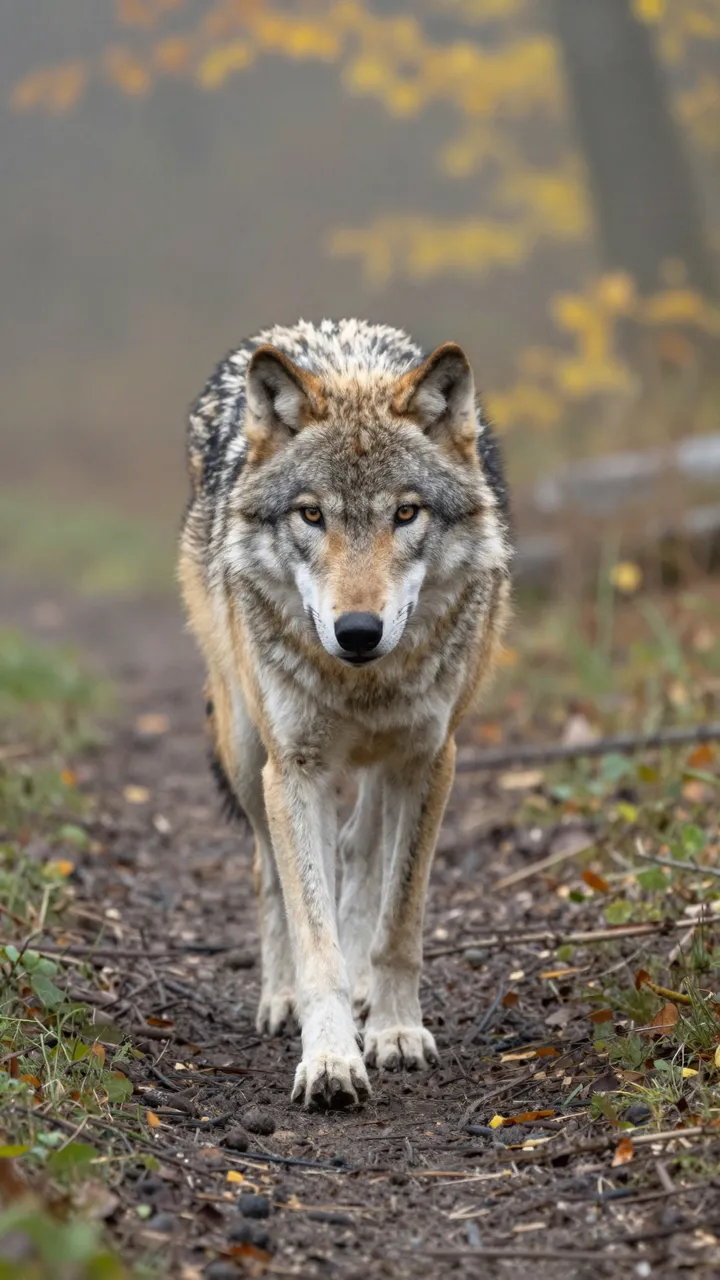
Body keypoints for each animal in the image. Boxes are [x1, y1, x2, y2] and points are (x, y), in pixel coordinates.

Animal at [179, 318, 512, 1108]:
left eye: (405, 513)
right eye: (312, 514)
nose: (357, 631)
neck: (363, 684)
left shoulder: (429, 760)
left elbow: (398, 922)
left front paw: (393, 1030)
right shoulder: (294, 769)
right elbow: (316, 935)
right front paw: (329, 1058)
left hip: (383, 768)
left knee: (361, 850)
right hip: (246, 751)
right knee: (271, 870)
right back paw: (280, 1000)